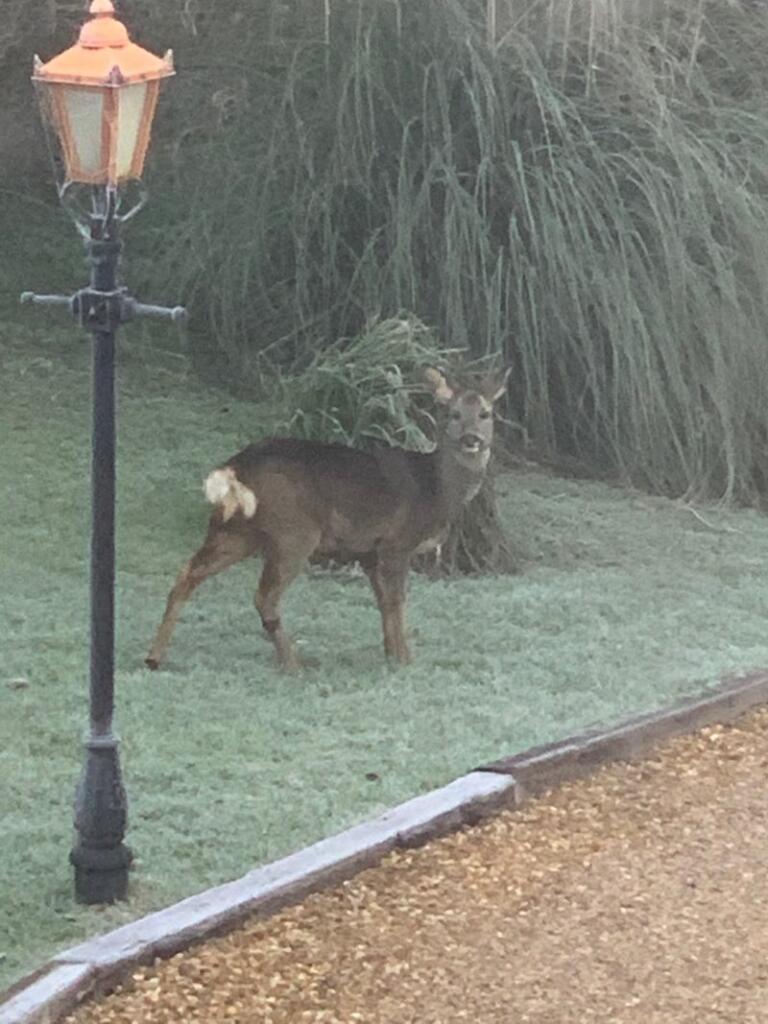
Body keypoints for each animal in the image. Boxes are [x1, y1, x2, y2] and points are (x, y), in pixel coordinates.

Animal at [145, 366, 510, 672]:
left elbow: (382, 604)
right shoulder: (396, 542)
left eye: (485, 414)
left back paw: (154, 657)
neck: (435, 490)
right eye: (453, 414)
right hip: (294, 533)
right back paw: (294, 664)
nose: (471, 440)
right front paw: (404, 659)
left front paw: (390, 652)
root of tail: (235, 468)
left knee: (187, 574)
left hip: (232, 529)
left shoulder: (368, 551)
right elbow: (397, 601)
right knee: (264, 597)